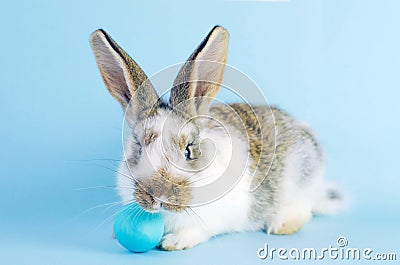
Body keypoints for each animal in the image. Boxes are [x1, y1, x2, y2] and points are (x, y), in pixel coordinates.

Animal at [90, 24, 344, 250]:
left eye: (189, 151)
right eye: (139, 149)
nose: (159, 196)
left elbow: (198, 230)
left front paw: (175, 242)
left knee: (304, 209)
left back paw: (282, 224)